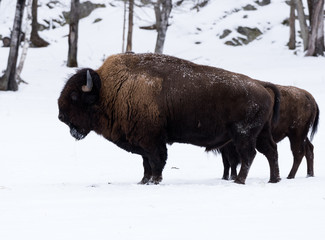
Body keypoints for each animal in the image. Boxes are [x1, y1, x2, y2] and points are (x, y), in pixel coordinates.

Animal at [58, 52, 280, 184]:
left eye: (75, 96)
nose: (61, 116)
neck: (109, 90)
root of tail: (261, 86)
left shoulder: (152, 139)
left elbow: (157, 160)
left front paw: (155, 181)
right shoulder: (141, 141)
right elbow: (146, 163)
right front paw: (143, 181)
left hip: (244, 135)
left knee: (249, 155)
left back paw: (240, 181)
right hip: (260, 133)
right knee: (271, 152)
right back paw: (274, 179)